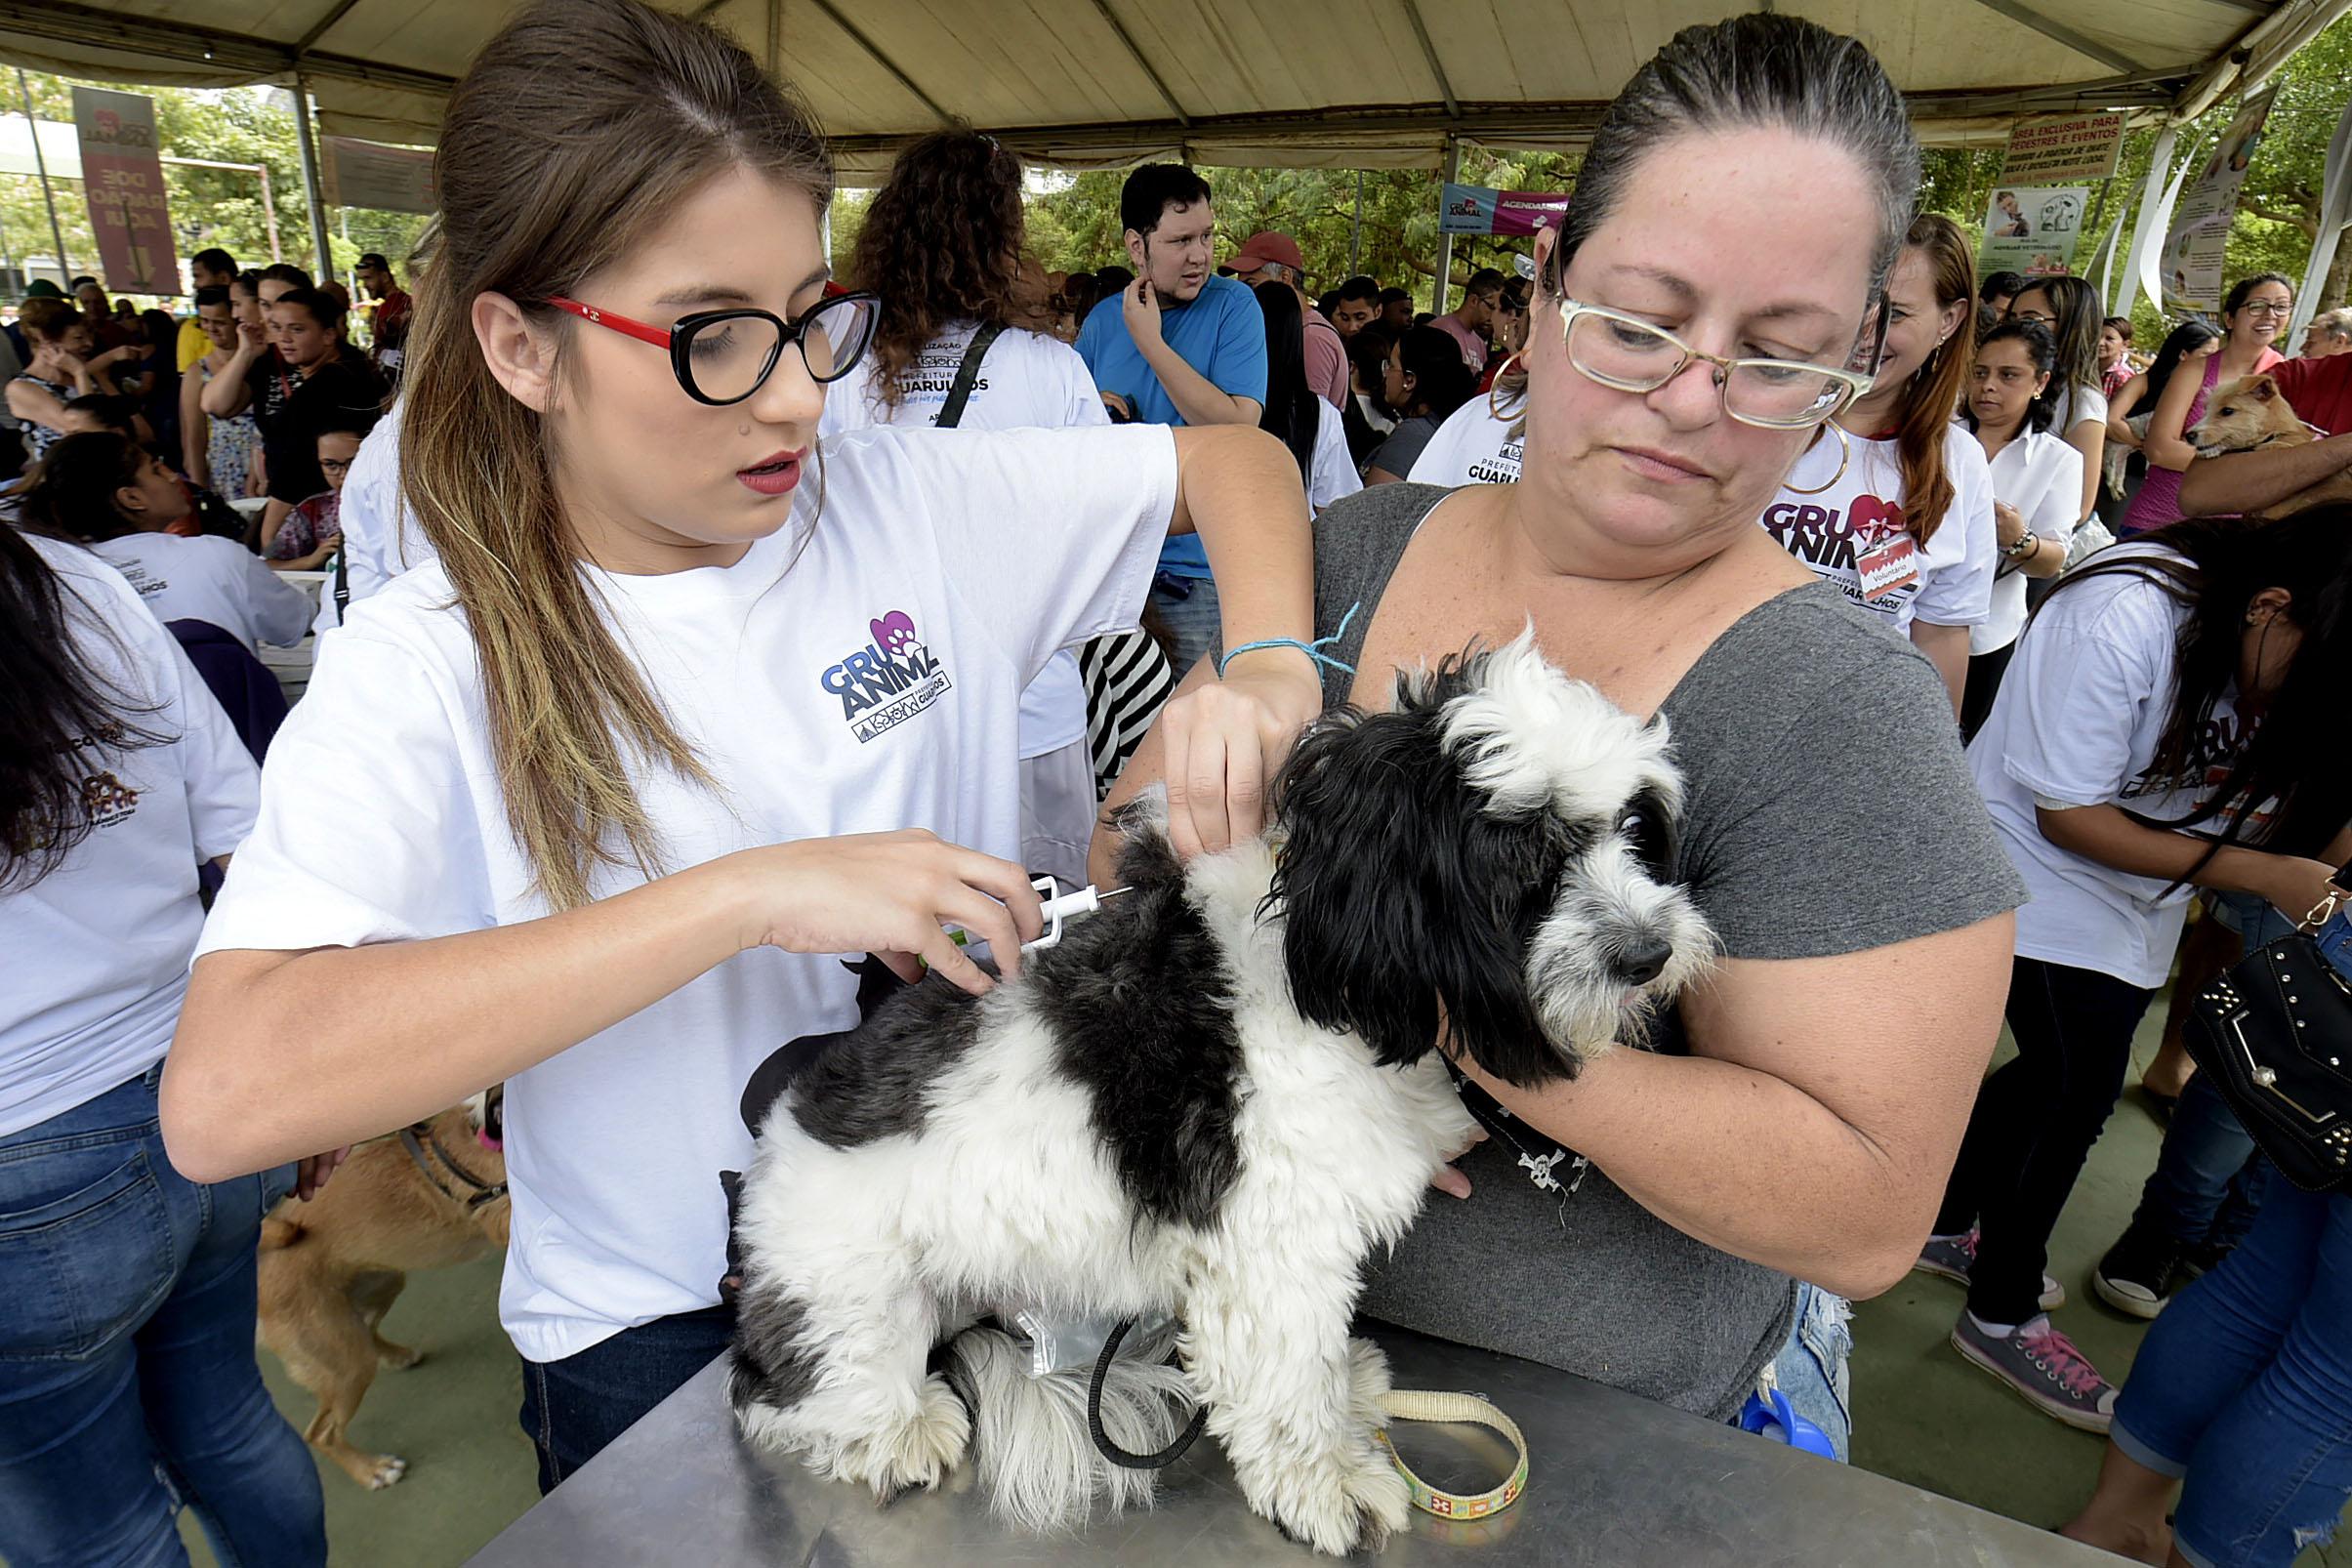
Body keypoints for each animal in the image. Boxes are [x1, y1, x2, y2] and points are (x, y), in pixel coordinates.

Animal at [257, 1099, 510, 1495]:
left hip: (382, 1285)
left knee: (367, 1329)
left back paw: (397, 1355)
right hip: (344, 1365)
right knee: (321, 1434)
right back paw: (371, 1470)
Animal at [723, 635, 1721, 1560]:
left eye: (1634, 830)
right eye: (1520, 860)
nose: (1648, 953)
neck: (1329, 975)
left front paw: (1347, 1397)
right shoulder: (1276, 1237)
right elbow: (1286, 1374)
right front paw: (1323, 1480)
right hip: (846, 1287)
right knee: (793, 1389)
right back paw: (889, 1429)